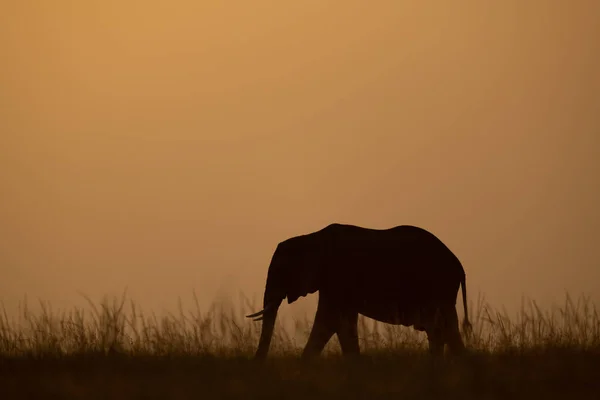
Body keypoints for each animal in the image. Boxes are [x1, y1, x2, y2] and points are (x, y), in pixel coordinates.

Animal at [246, 223, 472, 360]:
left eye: (281, 271)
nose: (258, 366)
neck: (311, 238)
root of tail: (459, 264)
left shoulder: (337, 277)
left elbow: (329, 321)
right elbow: (341, 323)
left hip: (439, 287)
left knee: (441, 328)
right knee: (442, 330)